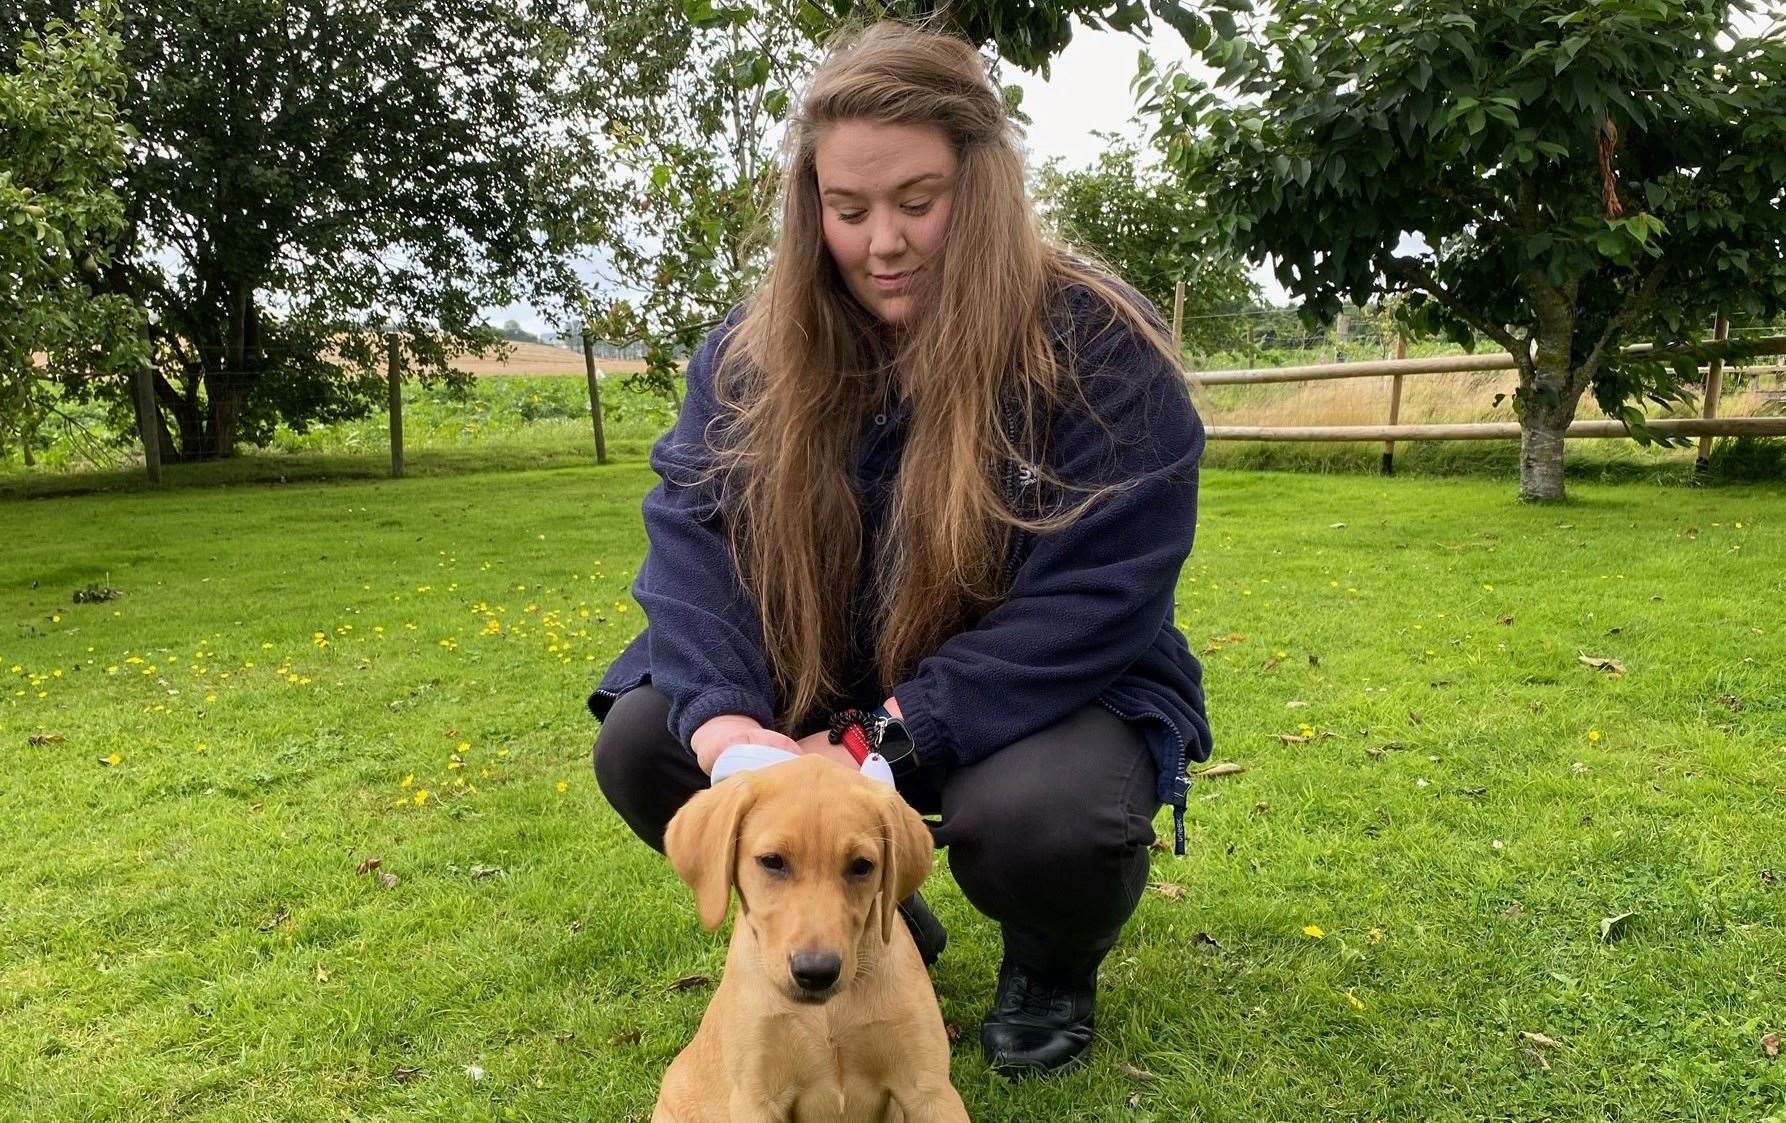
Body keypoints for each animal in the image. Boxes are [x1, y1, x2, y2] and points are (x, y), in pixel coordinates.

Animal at [653, 753, 971, 1121]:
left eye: (861, 866)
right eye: (772, 861)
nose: (816, 973)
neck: (828, 1013)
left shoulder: (930, 1090)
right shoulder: (756, 1098)